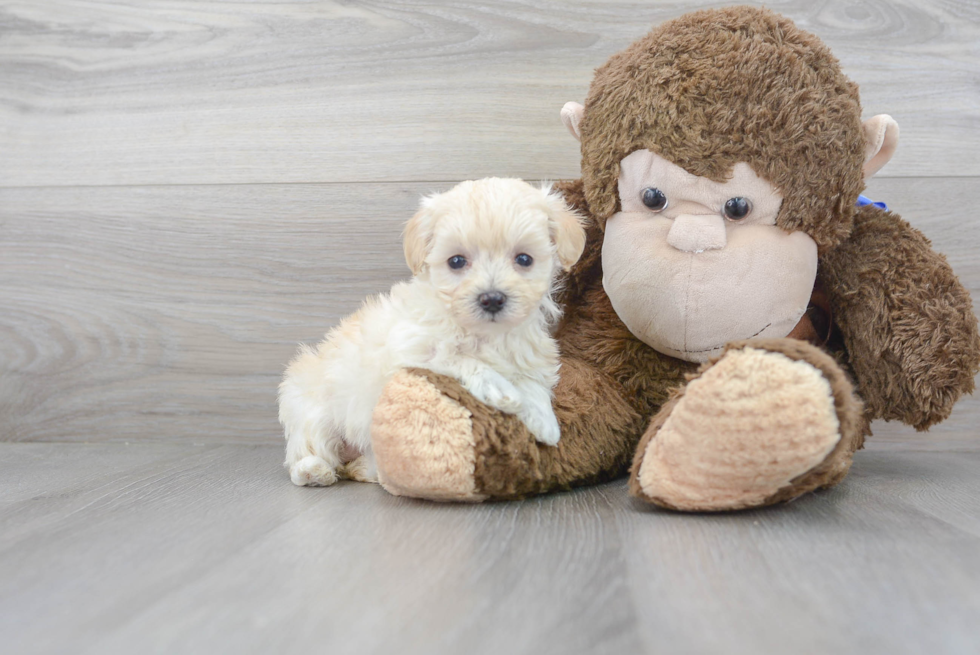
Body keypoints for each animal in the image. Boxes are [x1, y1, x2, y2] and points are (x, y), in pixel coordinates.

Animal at [278, 177, 580, 484]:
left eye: (524, 259)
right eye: (456, 261)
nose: (492, 298)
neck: (485, 334)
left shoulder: (530, 352)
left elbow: (533, 381)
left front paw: (544, 422)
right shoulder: (411, 349)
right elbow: (458, 357)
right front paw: (500, 389)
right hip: (312, 411)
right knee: (308, 452)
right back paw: (314, 470)